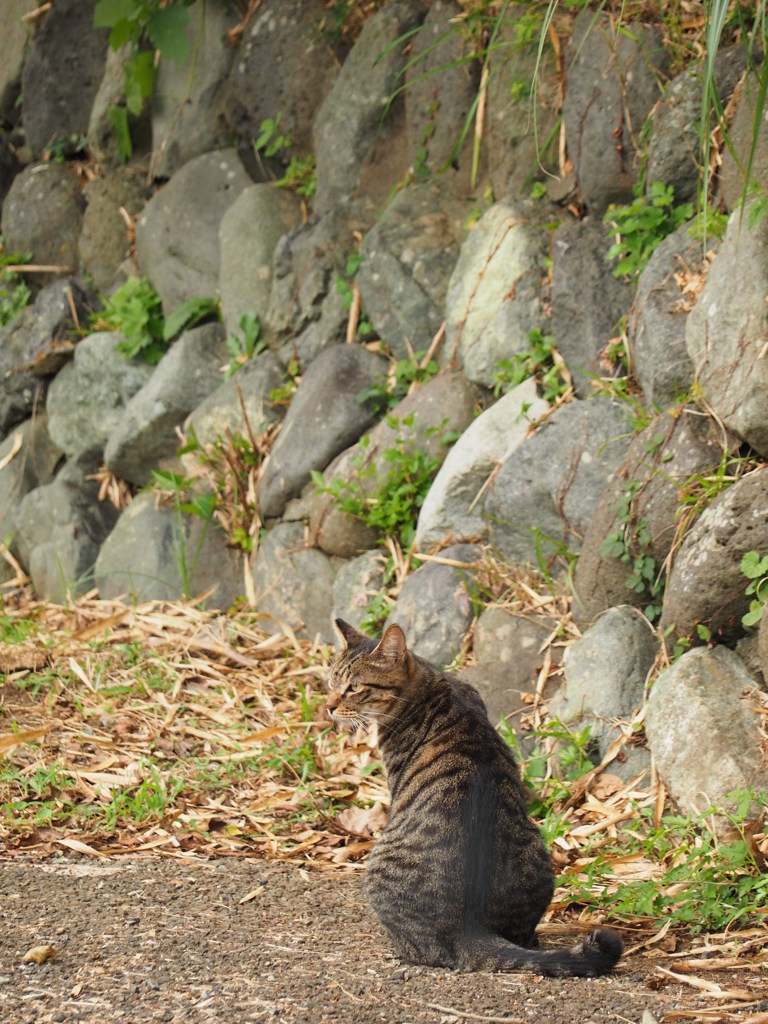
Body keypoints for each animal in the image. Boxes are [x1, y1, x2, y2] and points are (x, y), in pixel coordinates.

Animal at [325, 614, 626, 974]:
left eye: (355, 687)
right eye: (330, 681)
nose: (328, 707)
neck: (428, 683)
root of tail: (470, 930)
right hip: (538, 855)